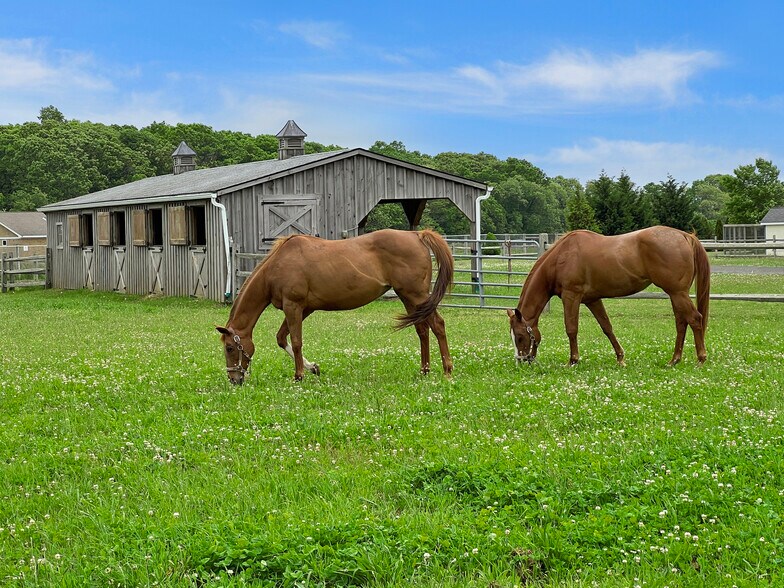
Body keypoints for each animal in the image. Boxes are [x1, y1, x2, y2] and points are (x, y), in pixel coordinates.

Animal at [216, 229, 454, 384]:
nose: (233, 379)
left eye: (229, 348)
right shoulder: (303, 309)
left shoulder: (293, 307)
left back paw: (447, 370)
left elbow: (296, 342)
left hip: (417, 296)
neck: (276, 266)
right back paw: (424, 370)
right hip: (409, 299)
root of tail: (416, 235)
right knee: (422, 330)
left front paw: (299, 375)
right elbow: (282, 338)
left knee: (438, 326)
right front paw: (312, 367)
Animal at [507, 226, 710, 366]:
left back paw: (700, 359)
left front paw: (573, 360)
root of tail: (685, 236)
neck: (560, 258)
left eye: (520, 336)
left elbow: (571, 328)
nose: (522, 361)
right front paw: (620, 358)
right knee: (681, 323)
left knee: (695, 319)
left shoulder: (571, 296)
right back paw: (674, 360)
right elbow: (607, 327)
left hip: (678, 293)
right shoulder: (592, 300)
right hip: (676, 294)